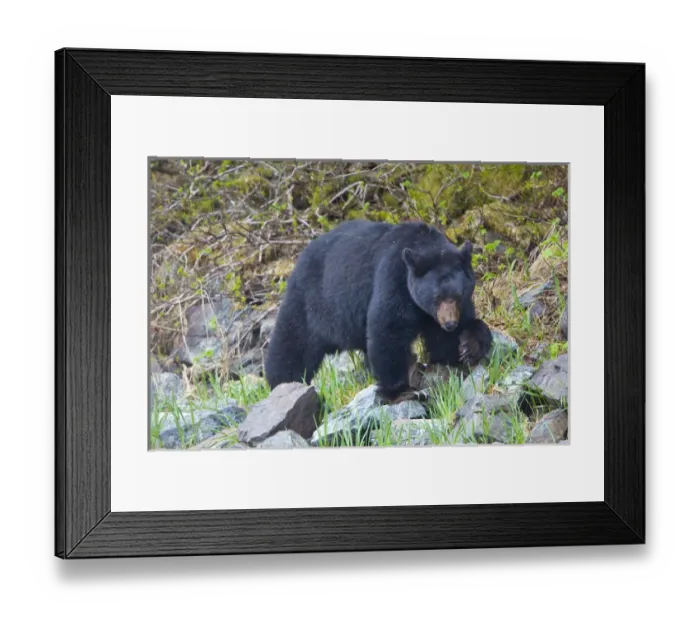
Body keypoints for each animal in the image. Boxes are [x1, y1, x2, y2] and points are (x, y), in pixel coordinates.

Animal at [263, 219, 493, 402]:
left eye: (458, 296)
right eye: (437, 298)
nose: (450, 324)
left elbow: (446, 342)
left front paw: (469, 346)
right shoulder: (393, 279)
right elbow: (389, 330)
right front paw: (399, 390)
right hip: (310, 300)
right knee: (293, 341)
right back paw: (282, 382)